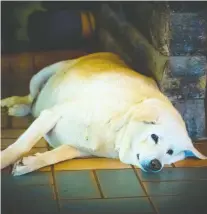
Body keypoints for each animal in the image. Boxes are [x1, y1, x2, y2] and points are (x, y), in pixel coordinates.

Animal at [0, 52, 206, 176]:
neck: (115, 132)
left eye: (170, 152)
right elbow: (22, 145)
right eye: (154, 137)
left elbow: (55, 156)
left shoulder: (78, 149)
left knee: (33, 105)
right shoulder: (52, 113)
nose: (157, 164)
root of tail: (110, 53)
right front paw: (5, 159)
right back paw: (12, 104)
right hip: (41, 75)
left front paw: (30, 163)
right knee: (30, 97)